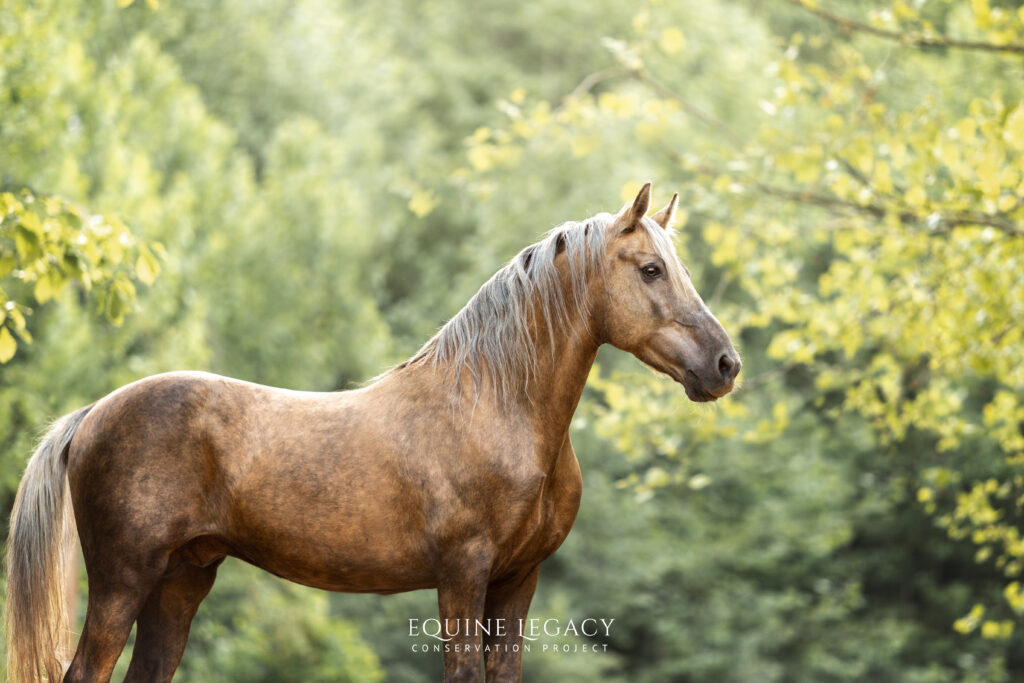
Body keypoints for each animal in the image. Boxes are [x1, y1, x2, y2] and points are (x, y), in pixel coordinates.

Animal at [5, 183, 740, 683]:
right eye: (651, 268)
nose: (725, 365)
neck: (492, 404)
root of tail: (91, 415)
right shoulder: (463, 575)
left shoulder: (518, 581)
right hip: (122, 582)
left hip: (182, 581)